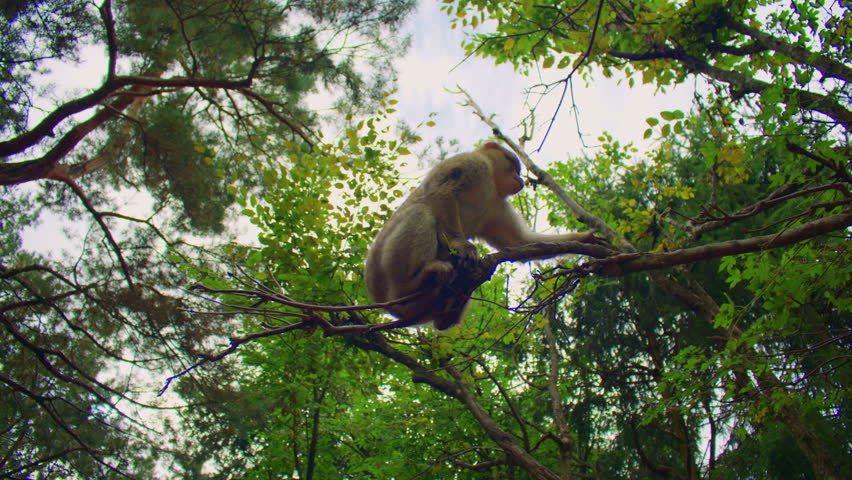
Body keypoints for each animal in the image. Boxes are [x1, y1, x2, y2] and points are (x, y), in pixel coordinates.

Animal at [364, 142, 602, 330]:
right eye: (513, 166)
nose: (519, 180)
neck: (491, 184)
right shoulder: (472, 163)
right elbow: (442, 192)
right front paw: (462, 244)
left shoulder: (496, 206)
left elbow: (518, 241)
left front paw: (585, 239)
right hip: (384, 272)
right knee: (420, 211)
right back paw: (416, 282)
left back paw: (451, 310)